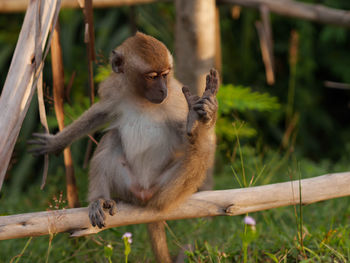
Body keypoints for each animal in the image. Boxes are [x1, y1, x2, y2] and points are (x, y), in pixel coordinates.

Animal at [29, 32, 219, 262]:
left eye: (165, 75)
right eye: (152, 76)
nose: (162, 89)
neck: (141, 99)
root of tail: (144, 195)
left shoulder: (175, 99)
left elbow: (186, 138)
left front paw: (200, 117)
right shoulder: (115, 92)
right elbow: (98, 114)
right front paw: (57, 142)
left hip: (165, 189)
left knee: (201, 152)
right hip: (126, 185)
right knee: (111, 138)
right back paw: (100, 201)